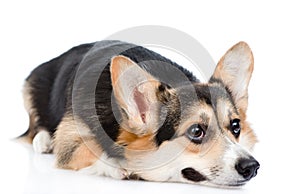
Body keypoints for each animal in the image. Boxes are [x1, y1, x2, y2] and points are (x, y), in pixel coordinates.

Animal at [18, 40, 258, 188]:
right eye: (196, 131)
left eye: (235, 126)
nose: (252, 166)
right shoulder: (70, 139)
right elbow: (90, 148)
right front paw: (118, 165)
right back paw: (43, 140)